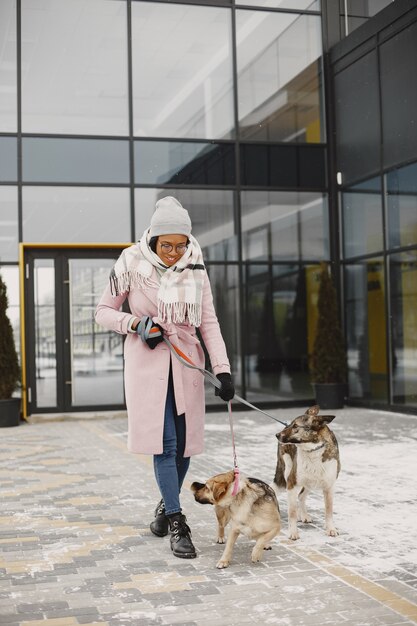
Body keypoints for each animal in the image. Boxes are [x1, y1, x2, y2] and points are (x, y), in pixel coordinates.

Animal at [272, 402, 340, 540]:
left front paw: (330, 529)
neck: (313, 450)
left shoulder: (329, 487)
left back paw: (303, 515)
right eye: (291, 425)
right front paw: (293, 532)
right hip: (285, 474)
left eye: (296, 426)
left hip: (309, 482)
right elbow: (291, 512)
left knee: (301, 496)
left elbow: (329, 510)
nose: (277, 435)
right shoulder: (292, 484)